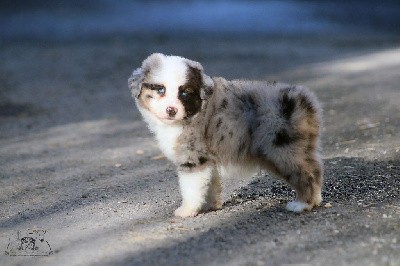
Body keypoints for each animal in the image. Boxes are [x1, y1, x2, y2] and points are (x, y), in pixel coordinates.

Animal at [130, 53, 324, 217]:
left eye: (184, 92)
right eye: (160, 89)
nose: (171, 110)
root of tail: (304, 100)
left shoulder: (192, 157)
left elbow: (190, 188)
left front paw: (187, 210)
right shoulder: (208, 159)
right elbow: (210, 184)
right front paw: (211, 205)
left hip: (281, 149)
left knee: (305, 174)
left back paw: (302, 204)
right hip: (300, 147)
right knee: (315, 169)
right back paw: (315, 200)